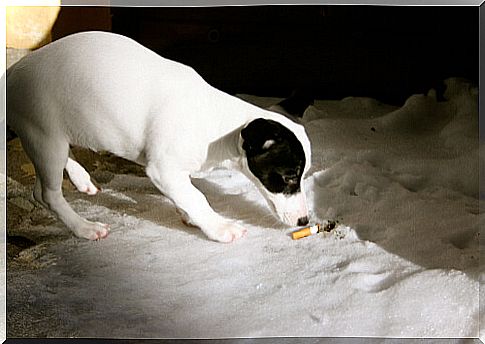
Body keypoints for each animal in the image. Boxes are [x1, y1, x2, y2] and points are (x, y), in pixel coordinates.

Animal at [5, 31, 312, 242]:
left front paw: (189, 215)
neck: (215, 121)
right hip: (44, 135)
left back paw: (82, 180)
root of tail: (10, 75)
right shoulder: (163, 169)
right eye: (288, 177)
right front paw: (219, 227)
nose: (304, 220)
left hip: (51, 137)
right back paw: (84, 227)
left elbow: (186, 194)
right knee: (46, 194)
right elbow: (196, 196)